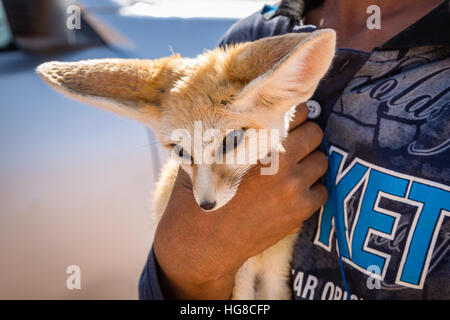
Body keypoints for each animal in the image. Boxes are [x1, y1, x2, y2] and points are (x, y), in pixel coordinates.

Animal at [37, 30, 336, 300]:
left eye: (232, 140)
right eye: (180, 151)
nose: (206, 205)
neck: (259, 255)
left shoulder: (277, 271)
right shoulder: (238, 277)